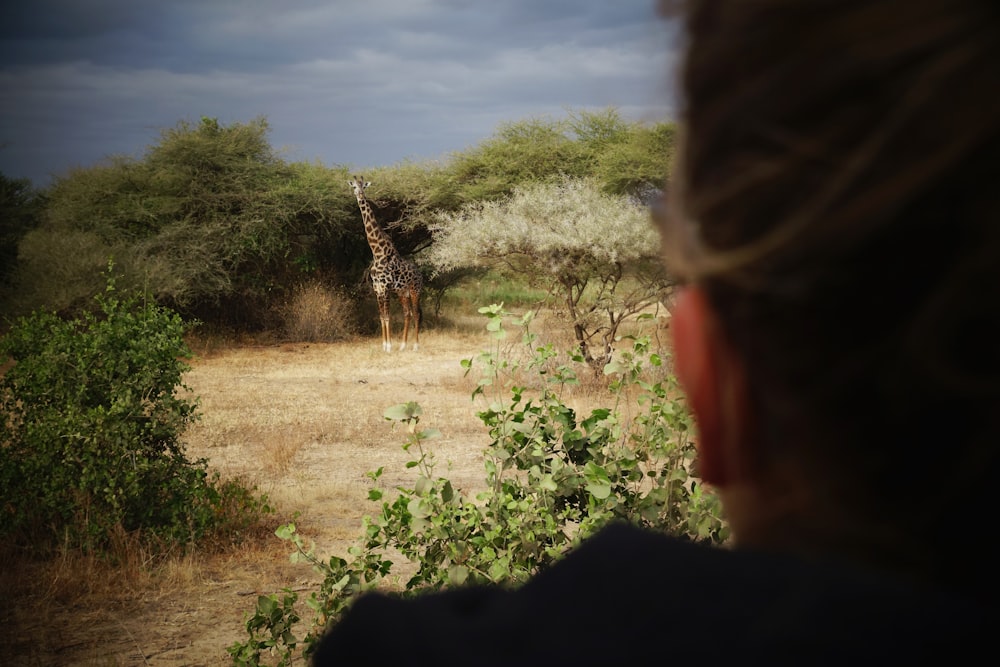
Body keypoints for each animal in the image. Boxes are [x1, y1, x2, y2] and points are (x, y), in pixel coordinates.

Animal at [348, 177, 422, 354]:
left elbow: (387, 317)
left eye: (363, 186)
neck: (377, 251)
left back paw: (416, 346)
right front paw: (383, 345)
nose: (360, 195)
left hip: (415, 290)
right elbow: (381, 317)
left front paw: (388, 346)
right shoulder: (377, 288)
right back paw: (403, 345)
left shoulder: (386, 287)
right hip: (403, 292)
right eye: (354, 187)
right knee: (407, 313)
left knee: (416, 313)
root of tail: (421, 274)